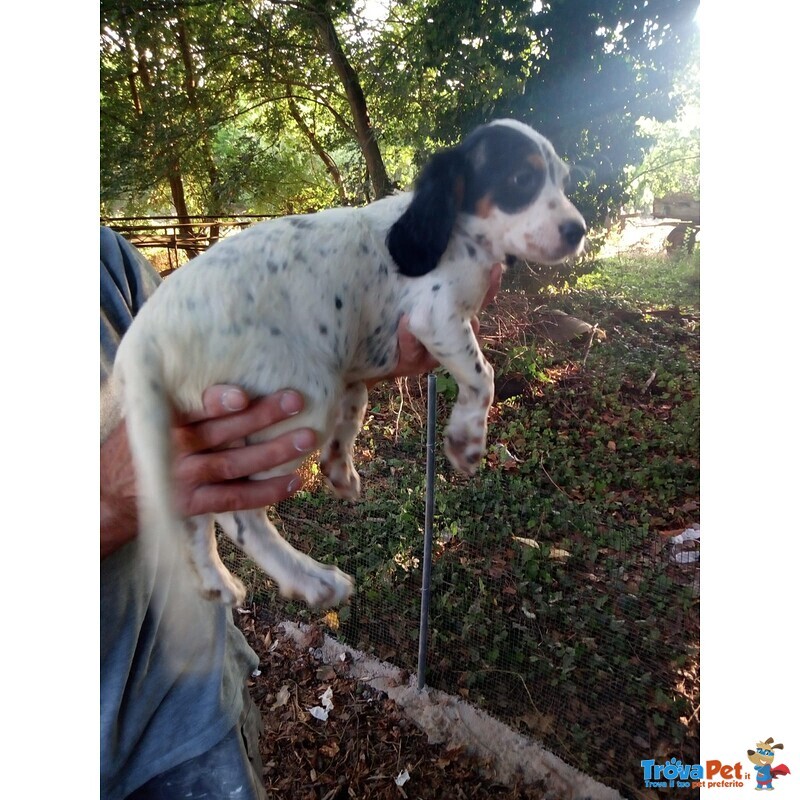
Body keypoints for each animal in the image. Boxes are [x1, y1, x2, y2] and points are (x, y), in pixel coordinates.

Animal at [114, 117, 588, 608]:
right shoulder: (437, 317)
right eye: (522, 179)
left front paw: (340, 470)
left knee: (196, 510)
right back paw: (311, 580)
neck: (456, 233)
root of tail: (144, 338)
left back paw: (215, 581)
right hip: (301, 399)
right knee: (239, 512)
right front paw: (466, 441)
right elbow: (484, 378)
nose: (579, 231)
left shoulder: (355, 373)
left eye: (563, 180)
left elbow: (353, 416)